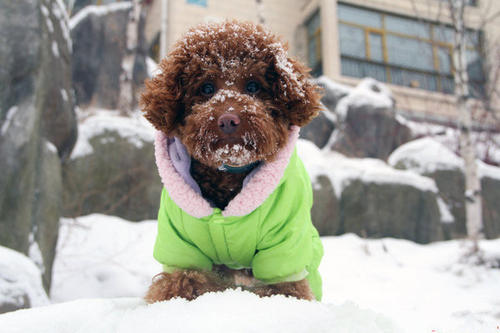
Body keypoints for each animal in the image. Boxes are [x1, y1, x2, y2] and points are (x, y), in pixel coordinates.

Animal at [140, 20, 324, 300]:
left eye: (253, 86)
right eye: (206, 88)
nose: (228, 119)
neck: (228, 175)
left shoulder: (285, 243)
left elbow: (286, 286)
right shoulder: (180, 241)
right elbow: (181, 281)